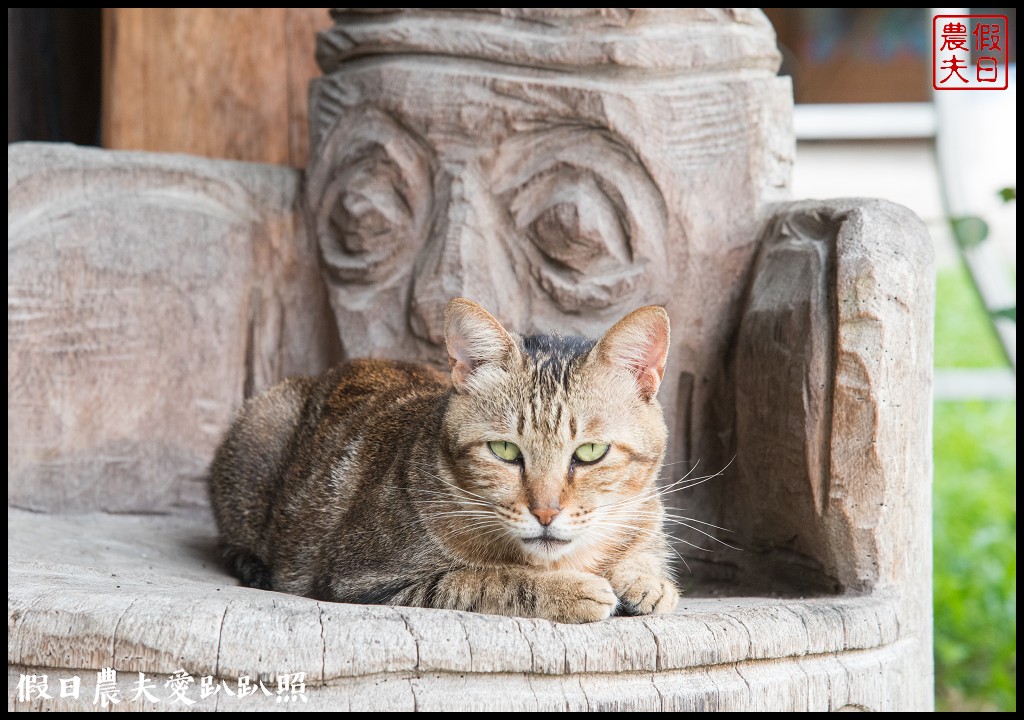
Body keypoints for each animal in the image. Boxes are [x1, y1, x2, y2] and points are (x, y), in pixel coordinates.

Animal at [207, 294, 679, 622]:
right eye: (505, 451)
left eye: (590, 452)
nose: (545, 513)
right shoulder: (362, 579)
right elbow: (480, 580)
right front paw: (568, 591)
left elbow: (645, 549)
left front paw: (647, 579)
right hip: (263, 425)